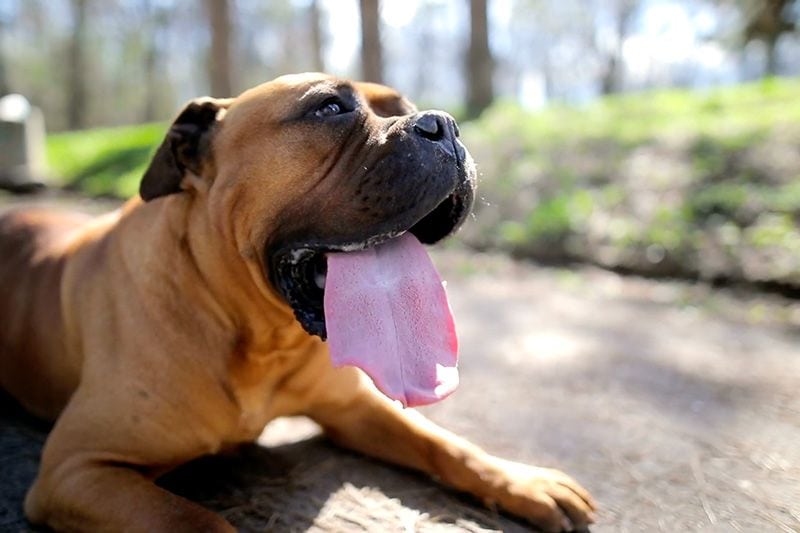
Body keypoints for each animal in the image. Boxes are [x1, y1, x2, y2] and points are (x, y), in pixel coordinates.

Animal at [0, 72, 592, 528]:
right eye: (328, 108)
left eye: (402, 109)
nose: (443, 123)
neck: (259, 334)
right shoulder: (78, 469)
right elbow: (192, 519)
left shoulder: (353, 407)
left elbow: (442, 441)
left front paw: (522, 480)